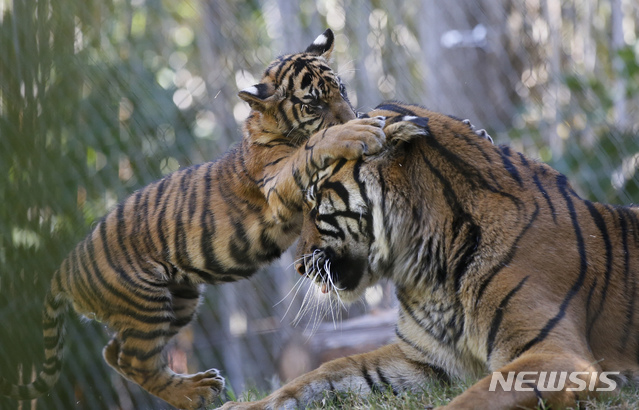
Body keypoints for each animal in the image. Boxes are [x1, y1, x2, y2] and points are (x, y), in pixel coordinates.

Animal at [1, 29, 384, 410]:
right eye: (312, 105)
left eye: (342, 89)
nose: (353, 112)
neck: (265, 127)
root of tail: (66, 266)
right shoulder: (277, 185)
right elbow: (314, 145)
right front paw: (356, 131)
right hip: (146, 302)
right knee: (134, 359)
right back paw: (195, 392)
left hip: (180, 300)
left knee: (114, 351)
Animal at [222, 100, 639, 410]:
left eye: (314, 198)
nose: (298, 265)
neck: (428, 268)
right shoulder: (423, 361)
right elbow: (325, 372)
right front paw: (239, 405)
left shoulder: (559, 355)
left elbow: (470, 401)